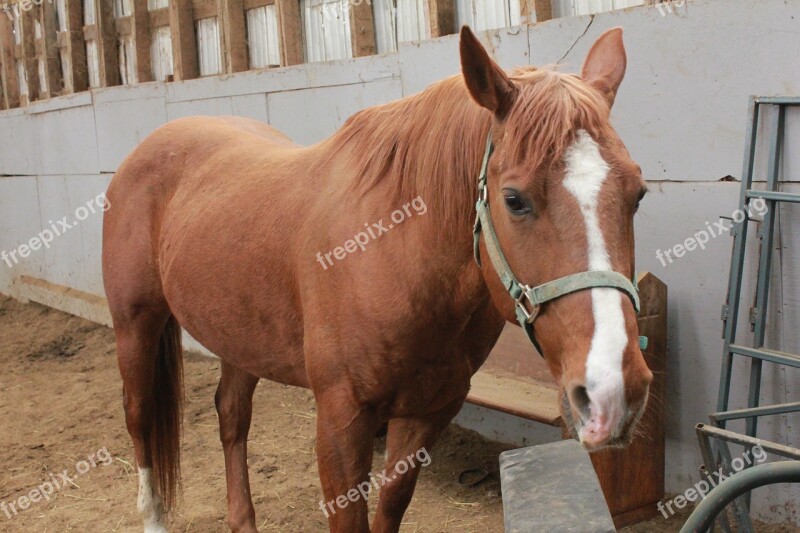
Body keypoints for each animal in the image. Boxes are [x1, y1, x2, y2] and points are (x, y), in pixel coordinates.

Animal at [104, 27, 648, 532]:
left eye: (638, 193)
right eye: (514, 199)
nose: (614, 390)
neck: (393, 252)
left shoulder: (428, 411)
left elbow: (389, 509)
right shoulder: (341, 418)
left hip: (239, 336)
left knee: (231, 416)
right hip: (136, 326)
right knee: (140, 418)